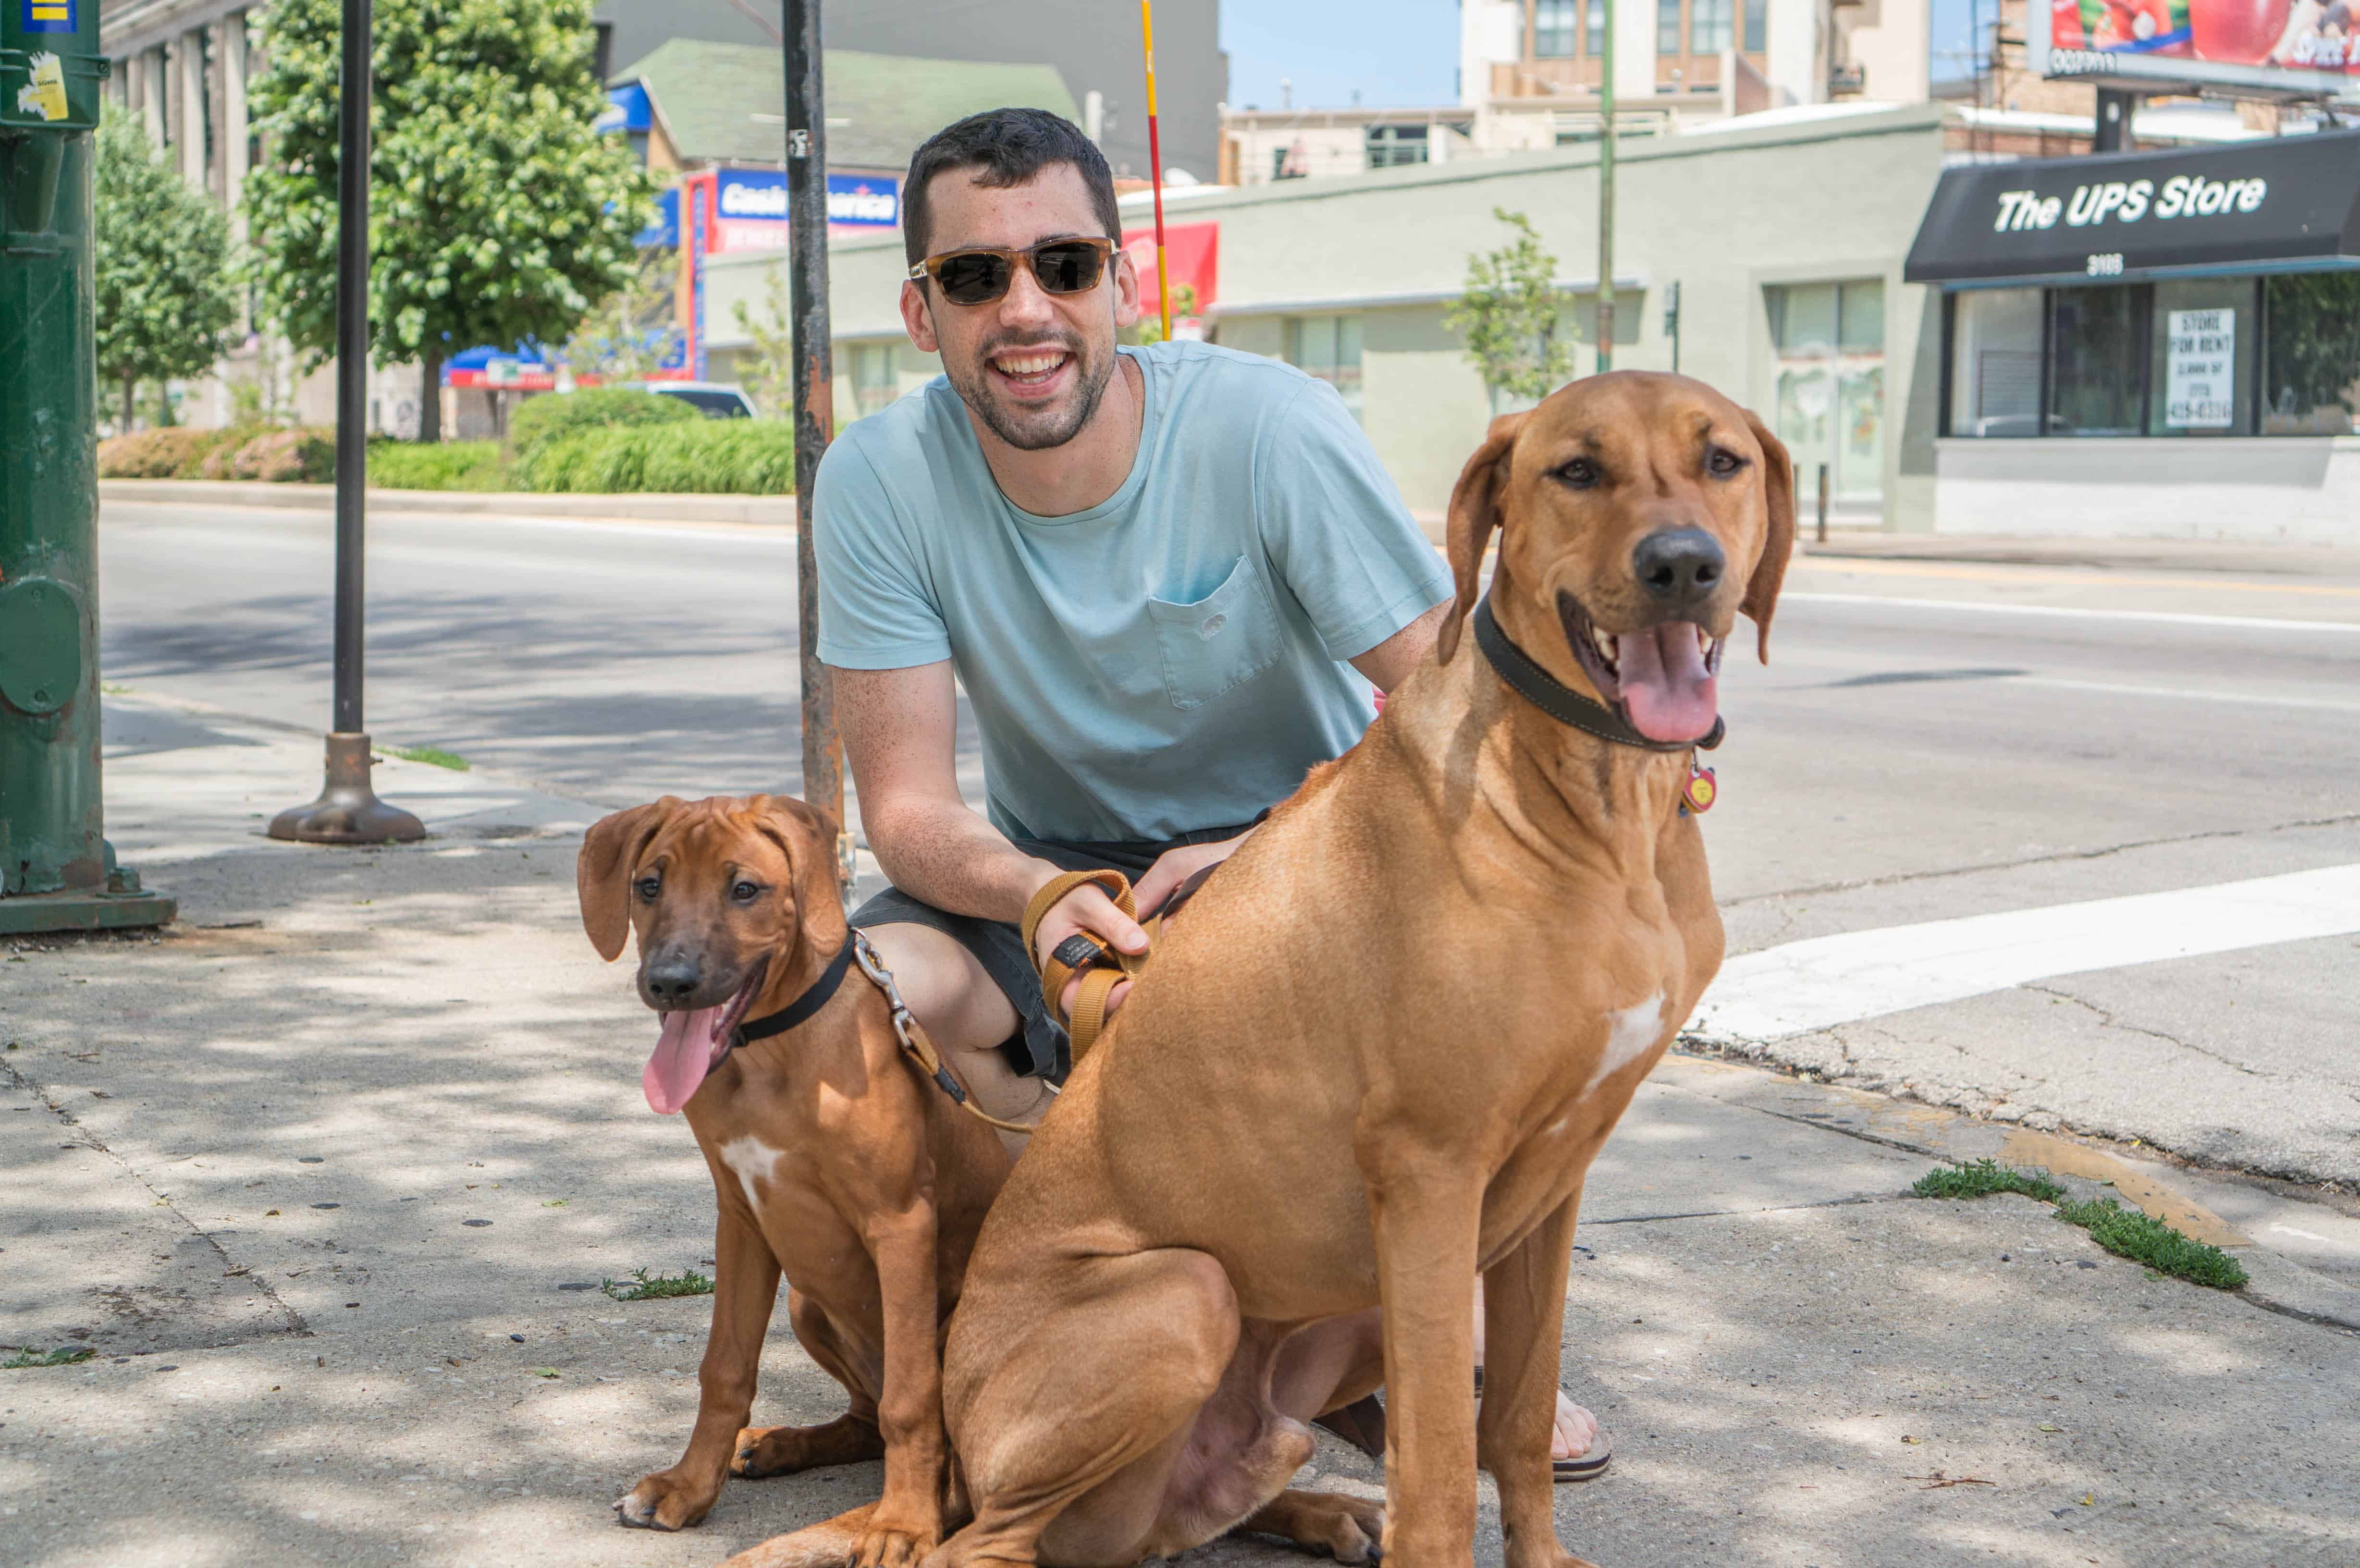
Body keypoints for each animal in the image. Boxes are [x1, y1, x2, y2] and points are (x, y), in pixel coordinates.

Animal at [580, 798, 1015, 1568]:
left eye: (744, 890)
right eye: (649, 885)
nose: (669, 981)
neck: (769, 1056)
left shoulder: (900, 1221)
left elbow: (912, 1401)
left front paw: (903, 1523)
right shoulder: (742, 1218)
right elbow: (724, 1369)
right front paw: (689, 1487)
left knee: (938, 1457)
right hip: (808, 1301)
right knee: (865, 1420)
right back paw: (777, 1446)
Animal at [717, 373, 1784, 1568]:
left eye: (1723, 461)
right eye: (1577, 471)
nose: (1682, 565)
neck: (1597, 803)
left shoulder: (1547, 1187)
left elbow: (1510, 1417)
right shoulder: (1429, 1174)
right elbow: (1437, 1473)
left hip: (1320, 1336)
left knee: (1179, 1518)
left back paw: (1324, 1511)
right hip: (1188, 1293)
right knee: (984, 1545)